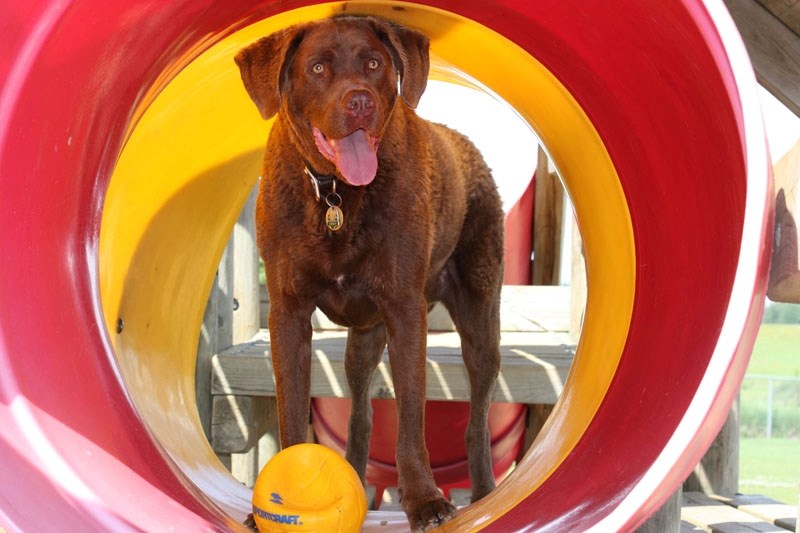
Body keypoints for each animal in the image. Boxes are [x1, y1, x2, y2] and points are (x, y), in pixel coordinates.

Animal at [234, 14, 504, 528]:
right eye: (318, 68)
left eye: (375, 63)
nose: (359, 101)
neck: (335, 194)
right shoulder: (288, 313)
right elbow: (291, 411)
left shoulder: (404, 311)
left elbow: (412, 419)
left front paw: (423, 500)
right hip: (362, 341)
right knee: (360, 414)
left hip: (480, 318)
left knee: (478, 417)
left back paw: (484, 493)